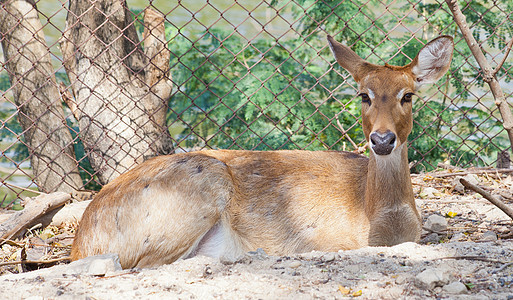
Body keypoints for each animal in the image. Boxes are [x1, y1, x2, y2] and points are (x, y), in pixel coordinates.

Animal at [71, 34, 452, 268]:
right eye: (363, 95)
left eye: (407, 95)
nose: (382, 140)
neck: (376, 219)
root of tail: (81, 241)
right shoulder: (324, 240)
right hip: (199, 185)